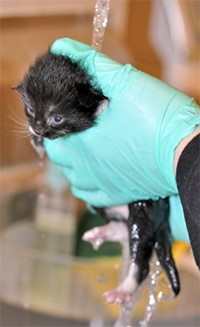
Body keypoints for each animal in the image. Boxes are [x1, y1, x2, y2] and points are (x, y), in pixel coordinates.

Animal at [14, 50, 179, 304]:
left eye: (57, 118)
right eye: (31, 109)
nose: (38, 129)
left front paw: (102, 107)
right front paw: (37, 143)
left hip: (145, 206)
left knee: (140, 255)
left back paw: (124, 289)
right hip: (104, 201)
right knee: (123, 230)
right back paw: (103, 232)